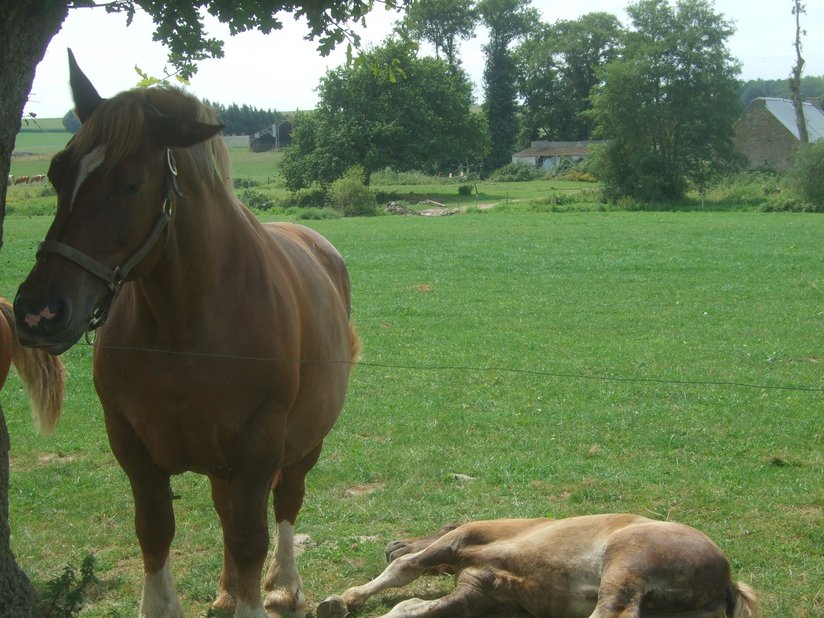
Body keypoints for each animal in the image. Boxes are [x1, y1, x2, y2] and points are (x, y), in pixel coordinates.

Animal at [12, 51, 358, 616]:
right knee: (227, 509)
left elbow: (250, 537)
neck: (186, 324)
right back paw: (227, 588)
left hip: (306, 440)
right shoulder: (131, 445)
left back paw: (282, 583)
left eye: (132, 183)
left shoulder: (259, 445)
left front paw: (255, 595)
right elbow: (156, 530)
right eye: (58, 173)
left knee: (285, 500)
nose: (37, 312)